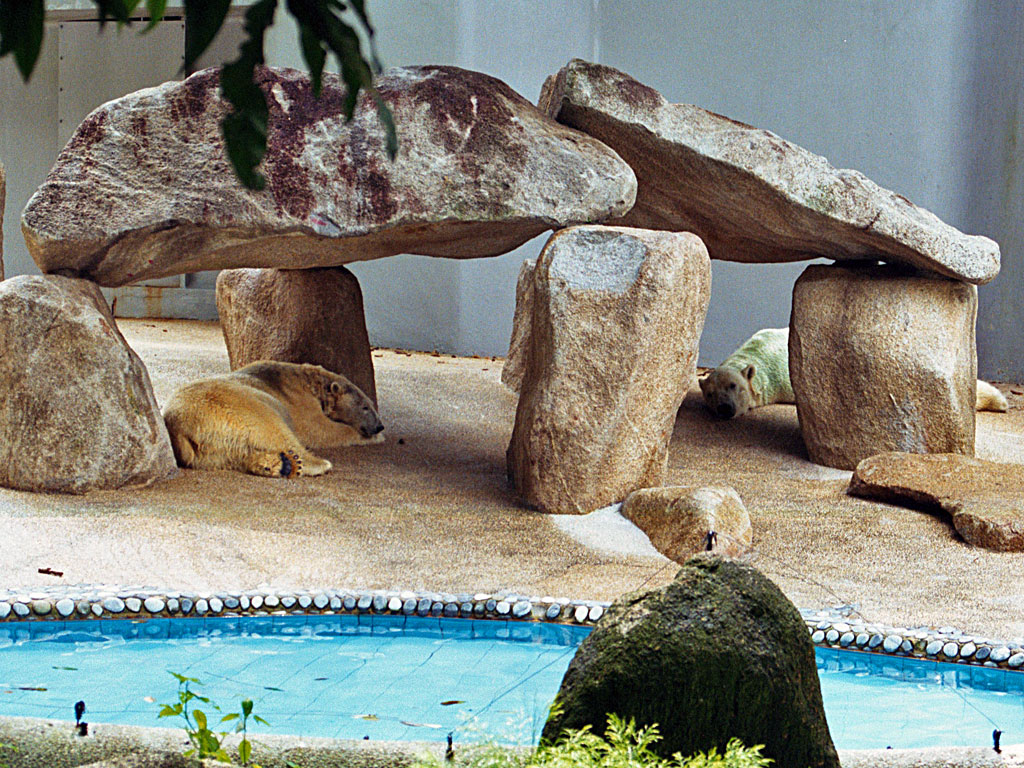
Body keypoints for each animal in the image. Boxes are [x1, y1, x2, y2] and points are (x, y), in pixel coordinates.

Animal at [162, 360, 384, 478]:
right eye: (365, 407)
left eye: (371, 405)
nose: (379, 426)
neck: (310, 381)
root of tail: (180, 428)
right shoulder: (298, 401)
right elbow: (321, 430)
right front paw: (375, 437)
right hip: (235, 406)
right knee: (276, 429)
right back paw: (316, 463)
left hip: (208, 450)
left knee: (232, 454)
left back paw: (277, 464)